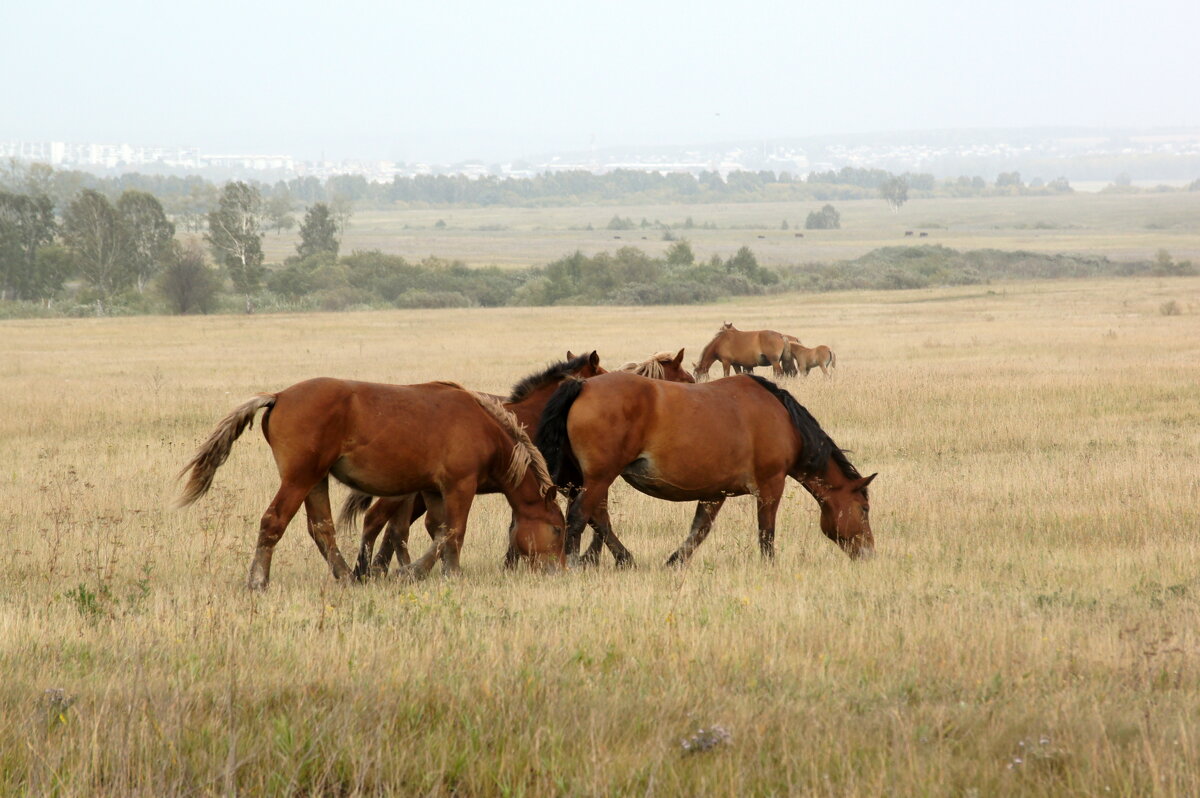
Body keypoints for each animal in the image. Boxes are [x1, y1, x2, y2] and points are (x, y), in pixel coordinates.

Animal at [177, 376, 566, 588]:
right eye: (558, 530)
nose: (560, 570)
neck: (485, 427)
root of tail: (279, 396)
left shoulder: (433, 490)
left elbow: (438, 532)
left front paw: (426, 571)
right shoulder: (460, 485)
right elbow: (453, 532)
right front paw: (432, 573)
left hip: (315, 481)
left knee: (322, 528)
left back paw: (347, 575)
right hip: (299, 479)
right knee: (273, 521)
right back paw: (258, 581)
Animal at [540, 372, 878, 566]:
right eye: (863, 510)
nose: (869, 554)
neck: (783, 420)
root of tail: (583, 385)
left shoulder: (714, 493)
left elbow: (699, 531)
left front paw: (674, 562)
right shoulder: (771, 486)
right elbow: (766, 531)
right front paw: (769, 565)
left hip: (590, 480)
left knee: (597, 517)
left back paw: (626, 559)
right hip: (600, 477)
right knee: (581, 516)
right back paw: (573, 563)